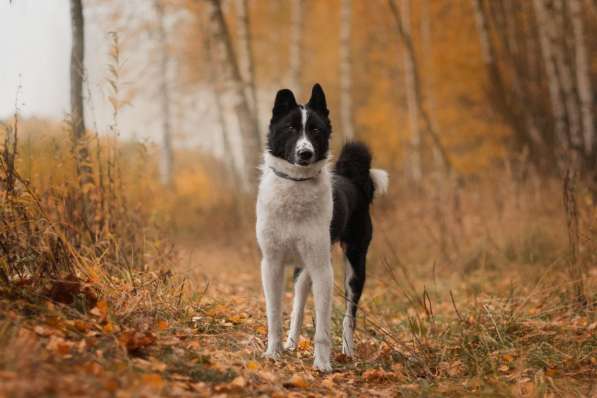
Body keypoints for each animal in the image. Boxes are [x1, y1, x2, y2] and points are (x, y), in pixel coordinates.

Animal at [255, 82, 386, 372]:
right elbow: (274, 314)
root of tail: (352, 178)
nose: (305, 153)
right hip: (302, 270)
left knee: (349, 315)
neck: (295, 185)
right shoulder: (272, 263)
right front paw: (273, 352)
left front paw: (322, 364)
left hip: (355, 266)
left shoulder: (323, 270)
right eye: (291, 128)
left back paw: (347, 351)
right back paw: (292, 343)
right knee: (298, 307)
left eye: (316, 130)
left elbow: (323, 328)